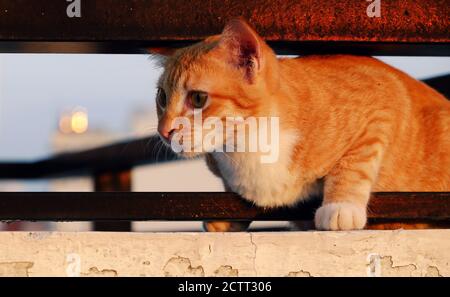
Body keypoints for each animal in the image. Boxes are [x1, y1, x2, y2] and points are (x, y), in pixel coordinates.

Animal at [154, 19, 450, 231]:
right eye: (162, 98)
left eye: (198, 98)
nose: (164, 131)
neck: (249, 143)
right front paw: (226, 220)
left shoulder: (382, 103)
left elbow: (354, 162)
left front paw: (341, 207)